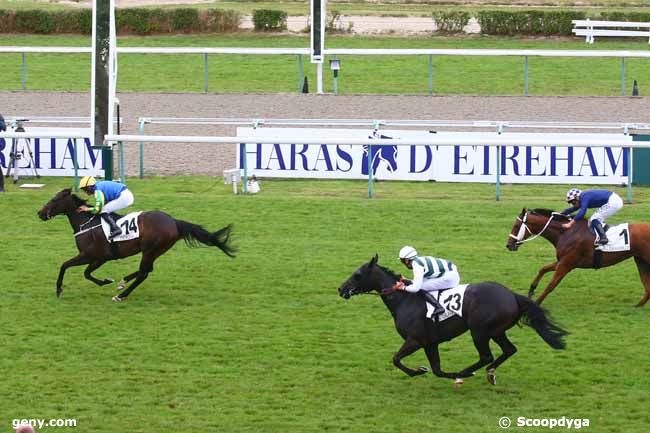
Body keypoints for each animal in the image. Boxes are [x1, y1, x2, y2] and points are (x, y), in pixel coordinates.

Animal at [37, 189, 235, 300]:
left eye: (54, 200)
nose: (40, 213)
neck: (86, 224)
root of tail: (174, 222)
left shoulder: (93, 256)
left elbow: (67, 266)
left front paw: (59, 289)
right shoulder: (97, 258)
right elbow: (84, 273)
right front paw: (107, 281)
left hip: (150, 250)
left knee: (144, 273)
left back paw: (121, 295)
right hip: (155, 251)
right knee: (146, 270)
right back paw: (123, 282)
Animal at [336, 255, 564, 384]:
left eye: (357, 275)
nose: (341, 289)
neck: (404, 300)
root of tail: (512, 295)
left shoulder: (415, 340)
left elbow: (396, 359)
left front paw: (419, 371)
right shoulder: (430, 343)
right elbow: (436, 370)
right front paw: (425, 370)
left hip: (479, 331)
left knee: (486, 356)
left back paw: (465, 372)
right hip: (496, 331)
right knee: (509, 350)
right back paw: (488, 374)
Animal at [504, 208, 648, 306]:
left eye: (516, 226)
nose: (509, 245)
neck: (566, 232)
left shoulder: (566, 265)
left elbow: (551, 284)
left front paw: (536, 303)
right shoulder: (563, 262)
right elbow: (543, 269)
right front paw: (531, 290)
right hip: (640, 260)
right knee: (647, 285)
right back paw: (638, 305)